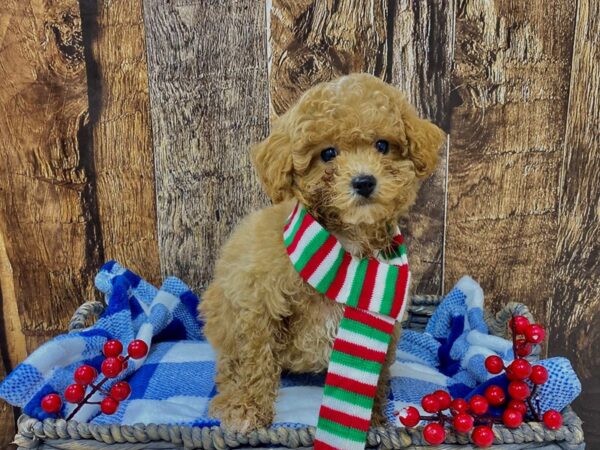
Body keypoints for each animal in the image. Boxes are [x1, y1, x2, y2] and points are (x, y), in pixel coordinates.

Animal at [200, 74, 446, 432]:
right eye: (328, 153)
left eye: (382, 146)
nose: (364, 181)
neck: (345, 250)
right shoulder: (257, 302)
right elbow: (255, 359)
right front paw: (247, 407)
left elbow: (378, 371)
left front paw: (373, 416)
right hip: (223, 312)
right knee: (231, 359)